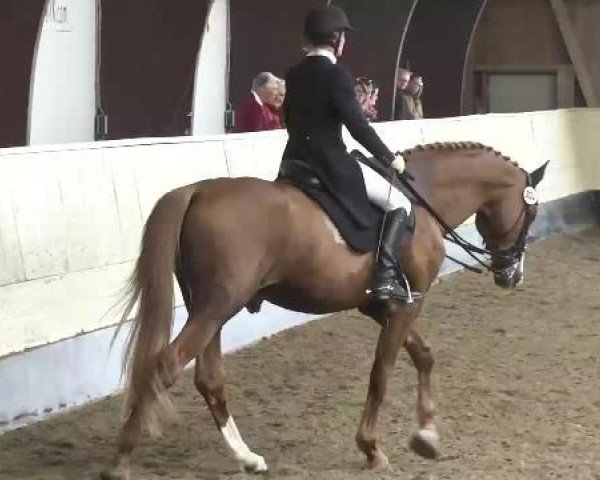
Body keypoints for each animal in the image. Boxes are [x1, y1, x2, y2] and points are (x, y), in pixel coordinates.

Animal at [102, 142, 548, 480]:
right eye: (531, 212)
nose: (513, 275)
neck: (425, 202)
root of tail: (196, 190)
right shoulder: (408, 304)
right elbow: (382, 372)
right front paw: (372, 448)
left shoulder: (382, 305)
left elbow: (423, 356)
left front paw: (426, 436)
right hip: (216, 307)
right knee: (164, 365)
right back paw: (120, 462)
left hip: (208, 308)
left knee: (208, 379)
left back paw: (248, 458)